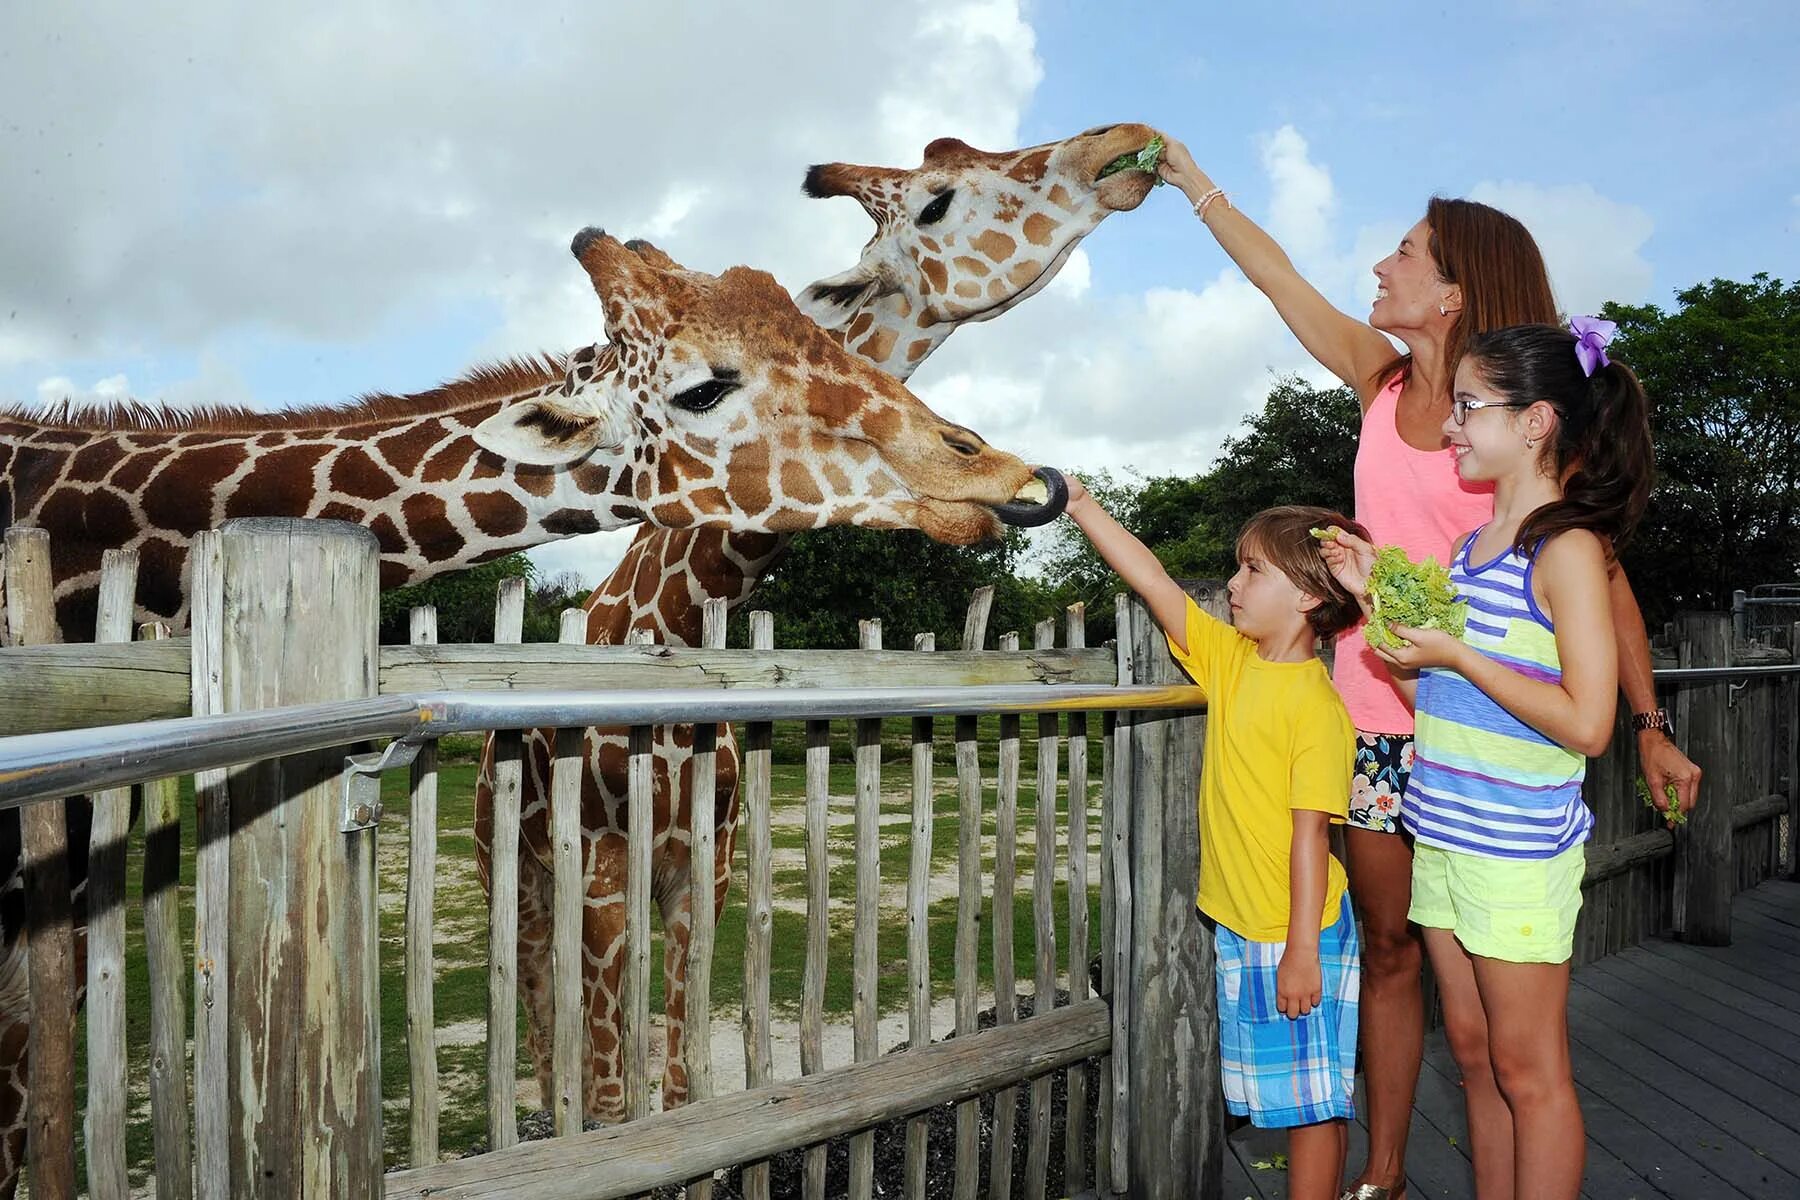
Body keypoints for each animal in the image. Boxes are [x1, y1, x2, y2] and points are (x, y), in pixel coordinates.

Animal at [471, 124, 1159, 1129]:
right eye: (938, 196)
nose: (1126, 145)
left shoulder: (704, 872)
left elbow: (679, 1081)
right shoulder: (597, 876)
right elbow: (606, 1091)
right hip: (512, 872)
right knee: (539, 1011)